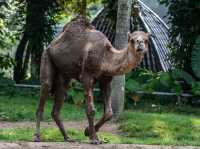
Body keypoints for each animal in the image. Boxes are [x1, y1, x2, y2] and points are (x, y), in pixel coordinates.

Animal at [34, 15, 150, 144]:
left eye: (146, 39)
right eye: (132, 40)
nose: (140, 44)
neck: (106, 57)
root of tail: (51, 45)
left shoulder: (106, 80)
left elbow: (109, 112)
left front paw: (88, 132)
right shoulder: (86, 77)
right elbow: (91, 109)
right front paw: (94, 138)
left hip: (63, 76)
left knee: (58, 103)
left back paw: (68, 137)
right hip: (46, 57)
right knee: (45, 89)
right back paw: (37, 137)